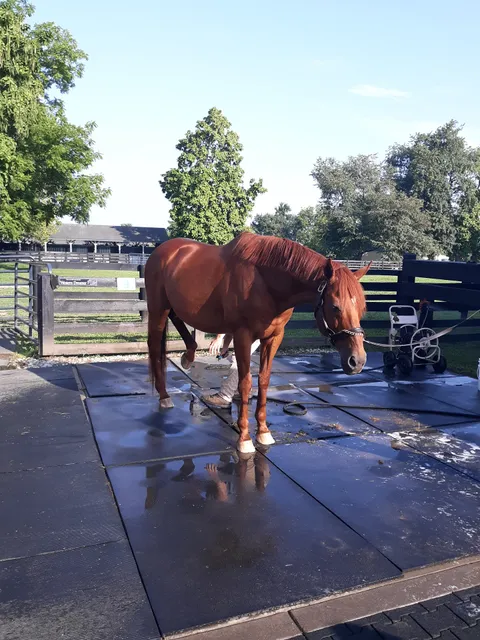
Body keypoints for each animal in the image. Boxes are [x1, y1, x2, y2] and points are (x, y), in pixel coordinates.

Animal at [144, 232, 370, 454]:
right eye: (335, 307)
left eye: (362, 307)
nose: (356, 361)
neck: (265, 282)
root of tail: (161, 251)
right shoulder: (243, 336)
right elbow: (246, 383)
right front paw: (244, 438)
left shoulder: (273, 337)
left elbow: (264, 380)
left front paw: (262, 432)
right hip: (157, 309)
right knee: (154, 346)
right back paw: (164, 396)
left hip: (170, 306)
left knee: (176, 318)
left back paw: (188, 356)